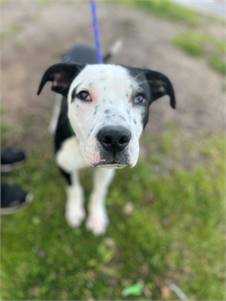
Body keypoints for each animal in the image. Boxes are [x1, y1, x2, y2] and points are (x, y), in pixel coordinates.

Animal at [37, 43, 176, 234]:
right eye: (83, 95)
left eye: (140, 98)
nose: (115, 137)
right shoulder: (64, 164)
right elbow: (74, 189)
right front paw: (74, 211)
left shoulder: (107, 171)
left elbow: (98, 193)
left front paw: (96, 217)